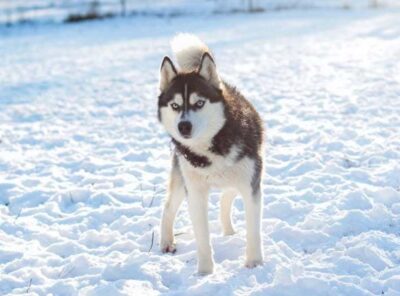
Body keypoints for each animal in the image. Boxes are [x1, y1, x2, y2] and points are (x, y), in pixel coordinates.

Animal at [158, 34, 264, 276]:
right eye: (175, 105)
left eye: (199, 103)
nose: (183, 126)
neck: (211, 148)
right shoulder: (195, 192)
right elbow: (202, 238)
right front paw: (205, 272)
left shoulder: (251, 184)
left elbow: (253, 231)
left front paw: (254, 263)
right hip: (182, 179)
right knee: (168, 208)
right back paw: (167, 242)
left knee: (227, 195)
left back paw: (228, 230)